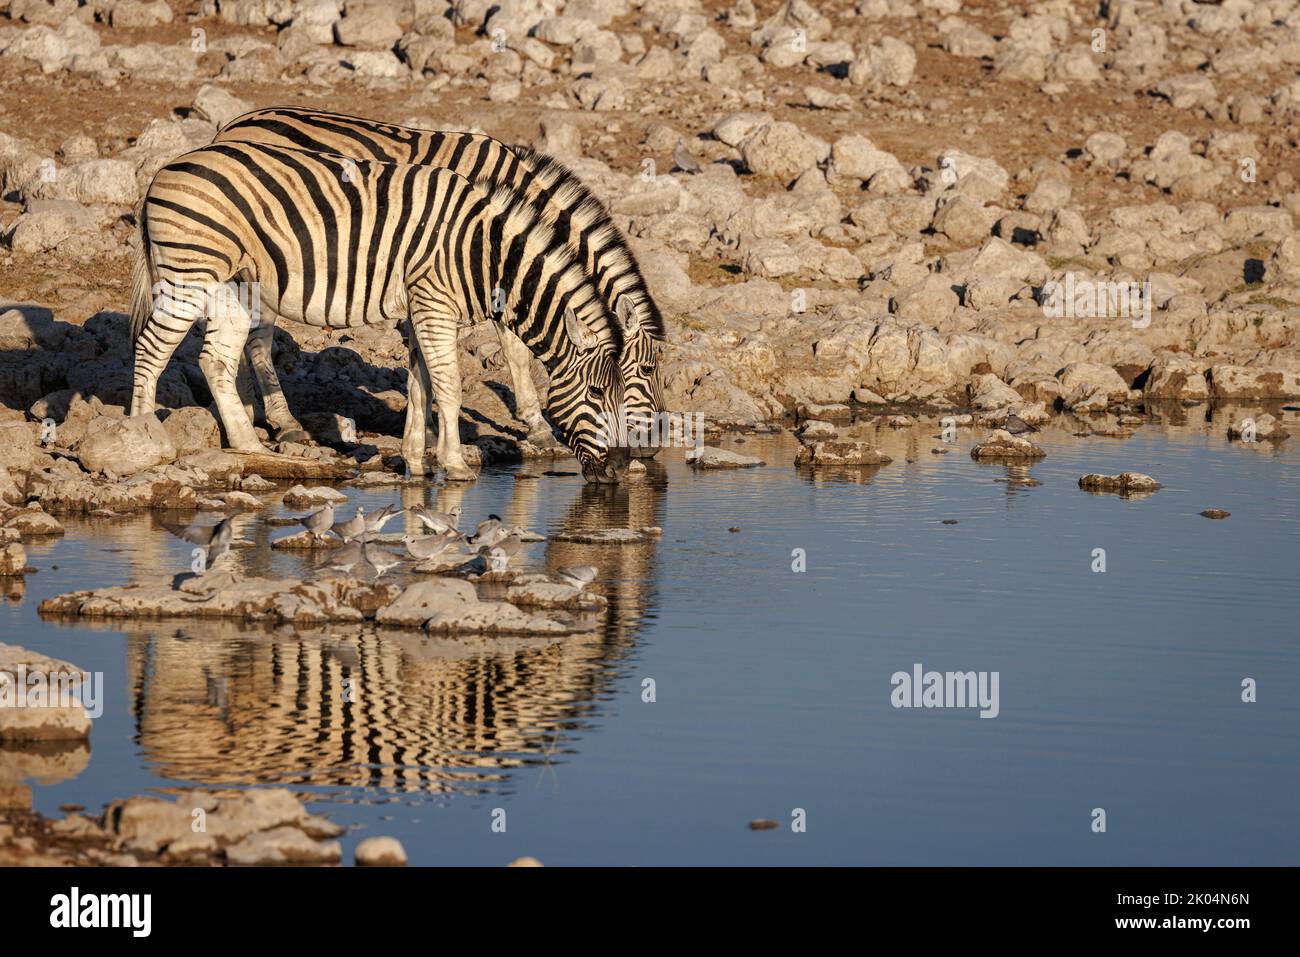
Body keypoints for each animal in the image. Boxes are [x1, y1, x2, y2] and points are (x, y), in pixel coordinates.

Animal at [133, 140, 634, 486]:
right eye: (595, 394)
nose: (622, 467)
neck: (484, 254)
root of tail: (164, 169)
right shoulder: (434, 301)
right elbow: (448, 386)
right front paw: (455, 464)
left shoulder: (420, 306)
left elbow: (419, 385)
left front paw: (416, 461)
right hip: (190, 270)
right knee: (150, 349)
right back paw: (143, 438)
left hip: (233, 286)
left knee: (214, 360)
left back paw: (251, 447)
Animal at [214, 106, 670, 457]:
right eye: (646, 370)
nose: (651, 449)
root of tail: (231, 125)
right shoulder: (491, 269)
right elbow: (513, 350)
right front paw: (535, 425)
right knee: (257, 342)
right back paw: (281, 421)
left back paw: (247, 411)